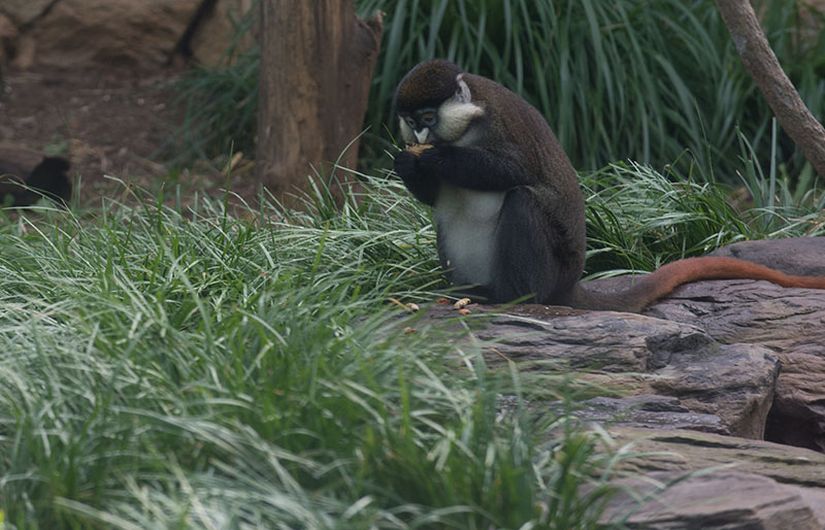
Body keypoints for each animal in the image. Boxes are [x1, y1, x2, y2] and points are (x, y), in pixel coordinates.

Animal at [392, 59, 824, 312]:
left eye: (428, 116)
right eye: (411, 121)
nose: (421, 133)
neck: (463, 126)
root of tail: (569, 285)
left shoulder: (498, 123)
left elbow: (515, 172)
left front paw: (433, 158)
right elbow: (432, 198)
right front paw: (407, 163)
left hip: (550, 269)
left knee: (522, 202)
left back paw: (511, 296)